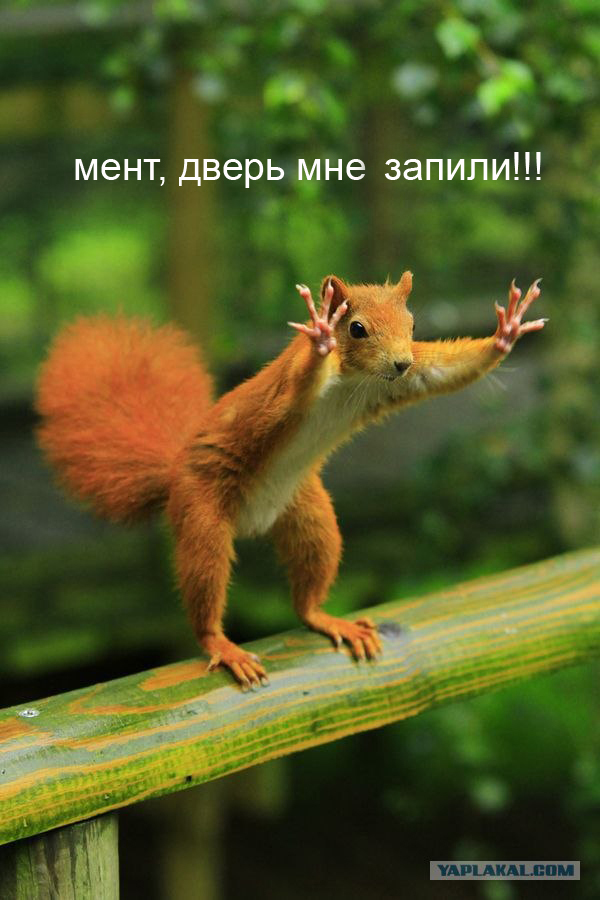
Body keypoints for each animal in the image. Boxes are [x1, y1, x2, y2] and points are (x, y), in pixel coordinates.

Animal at [35, 272, 545, 688]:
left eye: (413, 324)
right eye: (356, 328)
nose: (400, 362)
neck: (354, 380)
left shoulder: (402, 382)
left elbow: (442, 371)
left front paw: (506, 333)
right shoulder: (285, 393)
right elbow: (297, 386)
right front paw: (320, 334)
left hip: (309, 515)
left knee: (307, 590)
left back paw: (326, 618)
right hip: (202, 513)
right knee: (204, 583)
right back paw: (221, 645)